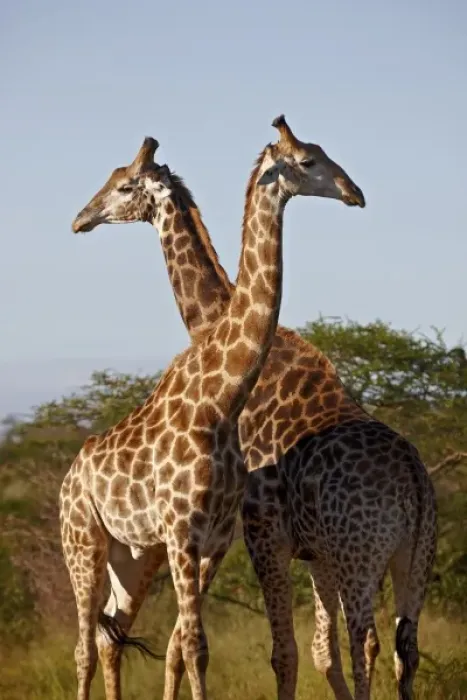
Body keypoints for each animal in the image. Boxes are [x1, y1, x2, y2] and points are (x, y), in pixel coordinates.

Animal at [74, 118, 437, 700]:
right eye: (312, 158)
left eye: (123, 185)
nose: (82, 218)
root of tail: (416, 478)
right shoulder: (307, 551)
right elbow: (317, 652)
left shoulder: (261, 529)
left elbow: (284, 652)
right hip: (415, 556)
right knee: (404, 646)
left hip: (362, 554)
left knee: (367, 640)